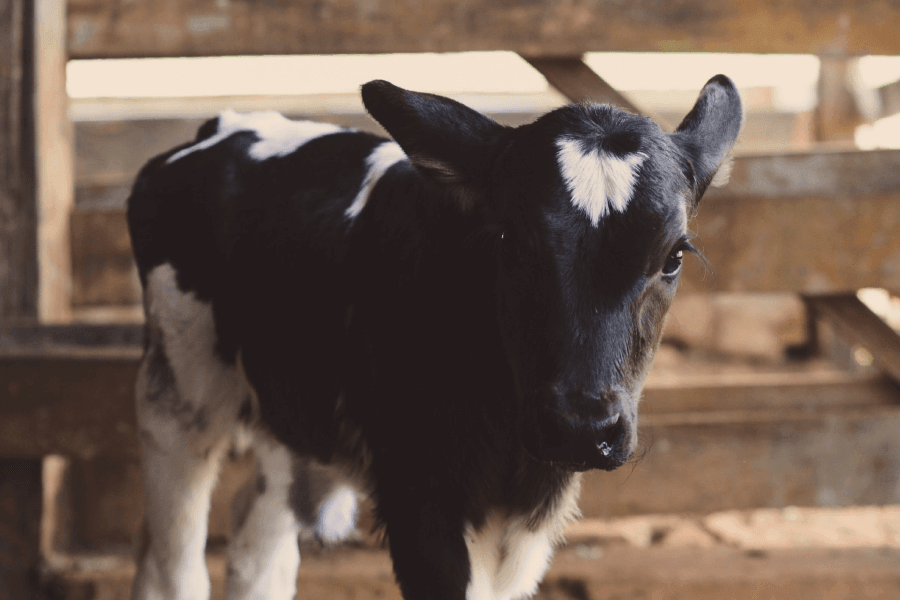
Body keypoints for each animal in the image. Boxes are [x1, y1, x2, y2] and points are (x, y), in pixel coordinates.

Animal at [127, 75, 742, 600]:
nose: (581, 426)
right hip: (175, 396)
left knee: (258, 549)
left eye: (673, 256)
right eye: (509, 240)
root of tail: (227, 124)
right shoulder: (418, 499)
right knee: (171, 566)